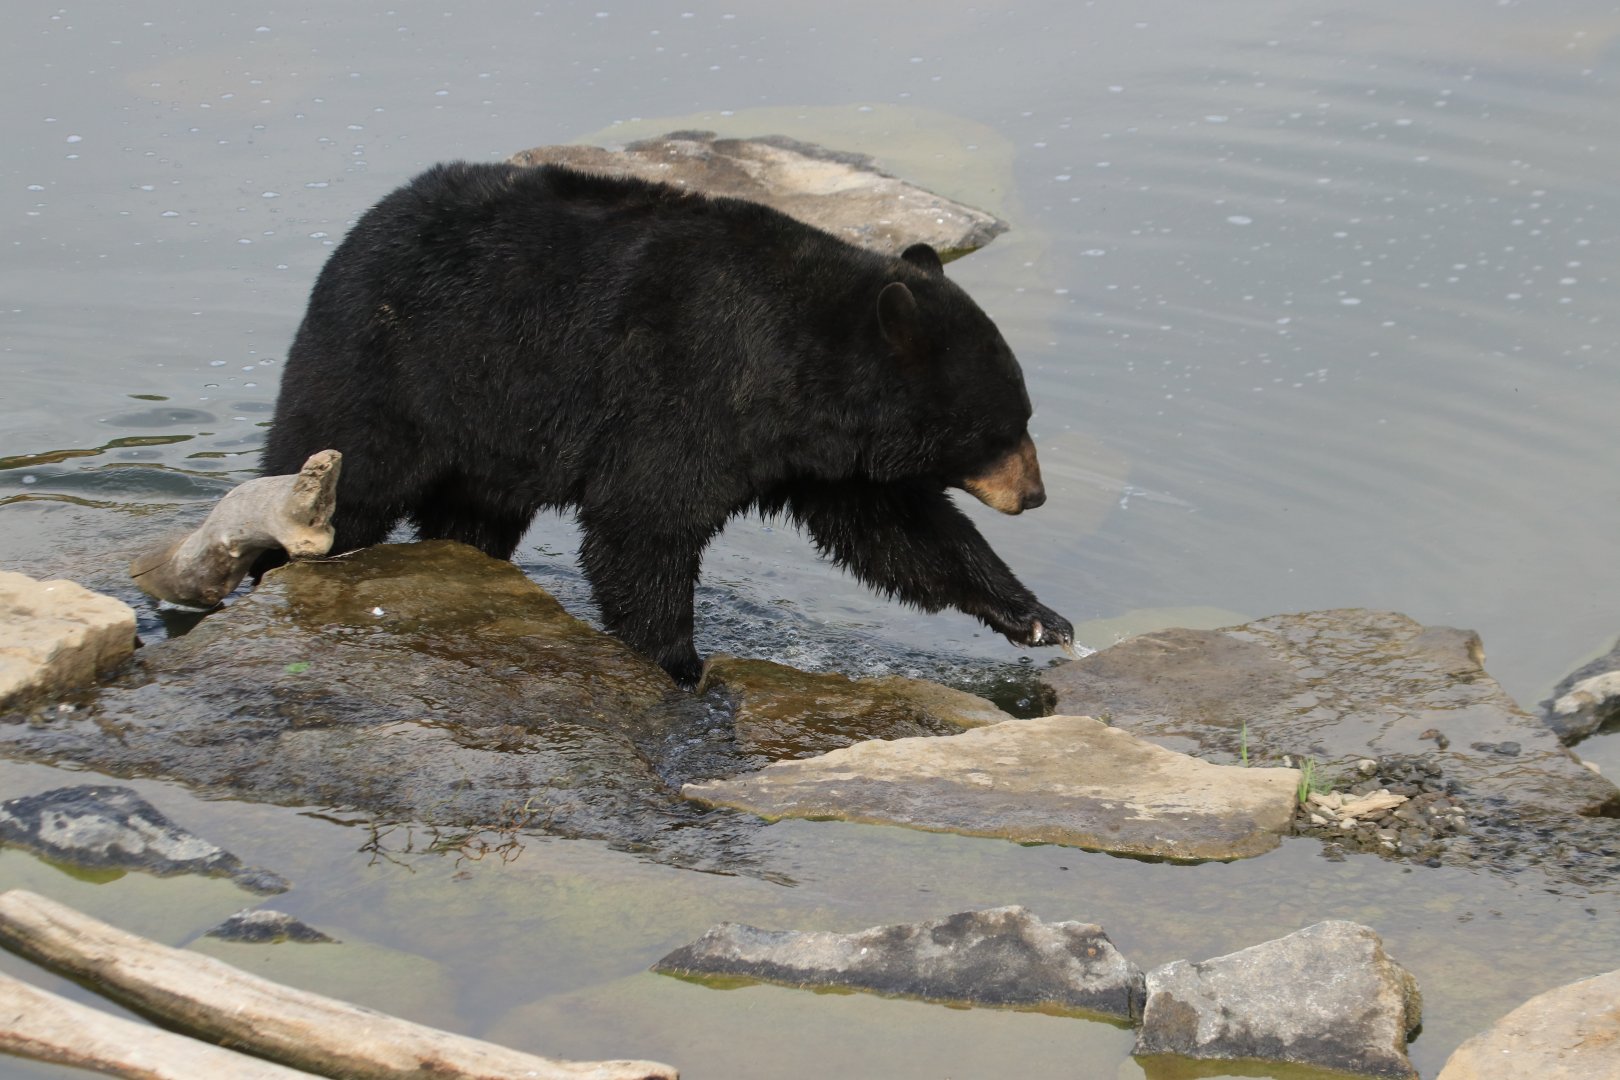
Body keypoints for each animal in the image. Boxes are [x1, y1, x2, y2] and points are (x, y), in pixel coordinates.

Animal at [259, 161, 1073, 687]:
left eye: (1020, 418)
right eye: (1001, 428)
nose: (1034, 495)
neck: (798, 372)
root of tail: (362, 226)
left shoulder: (821, 458)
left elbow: (898, 533)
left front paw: (1036, 617)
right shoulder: (685, 391)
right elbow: (644, 522)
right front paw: (681, 662)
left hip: (486, 434)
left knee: (471, 515)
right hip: (391, 366)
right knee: (339, 471)